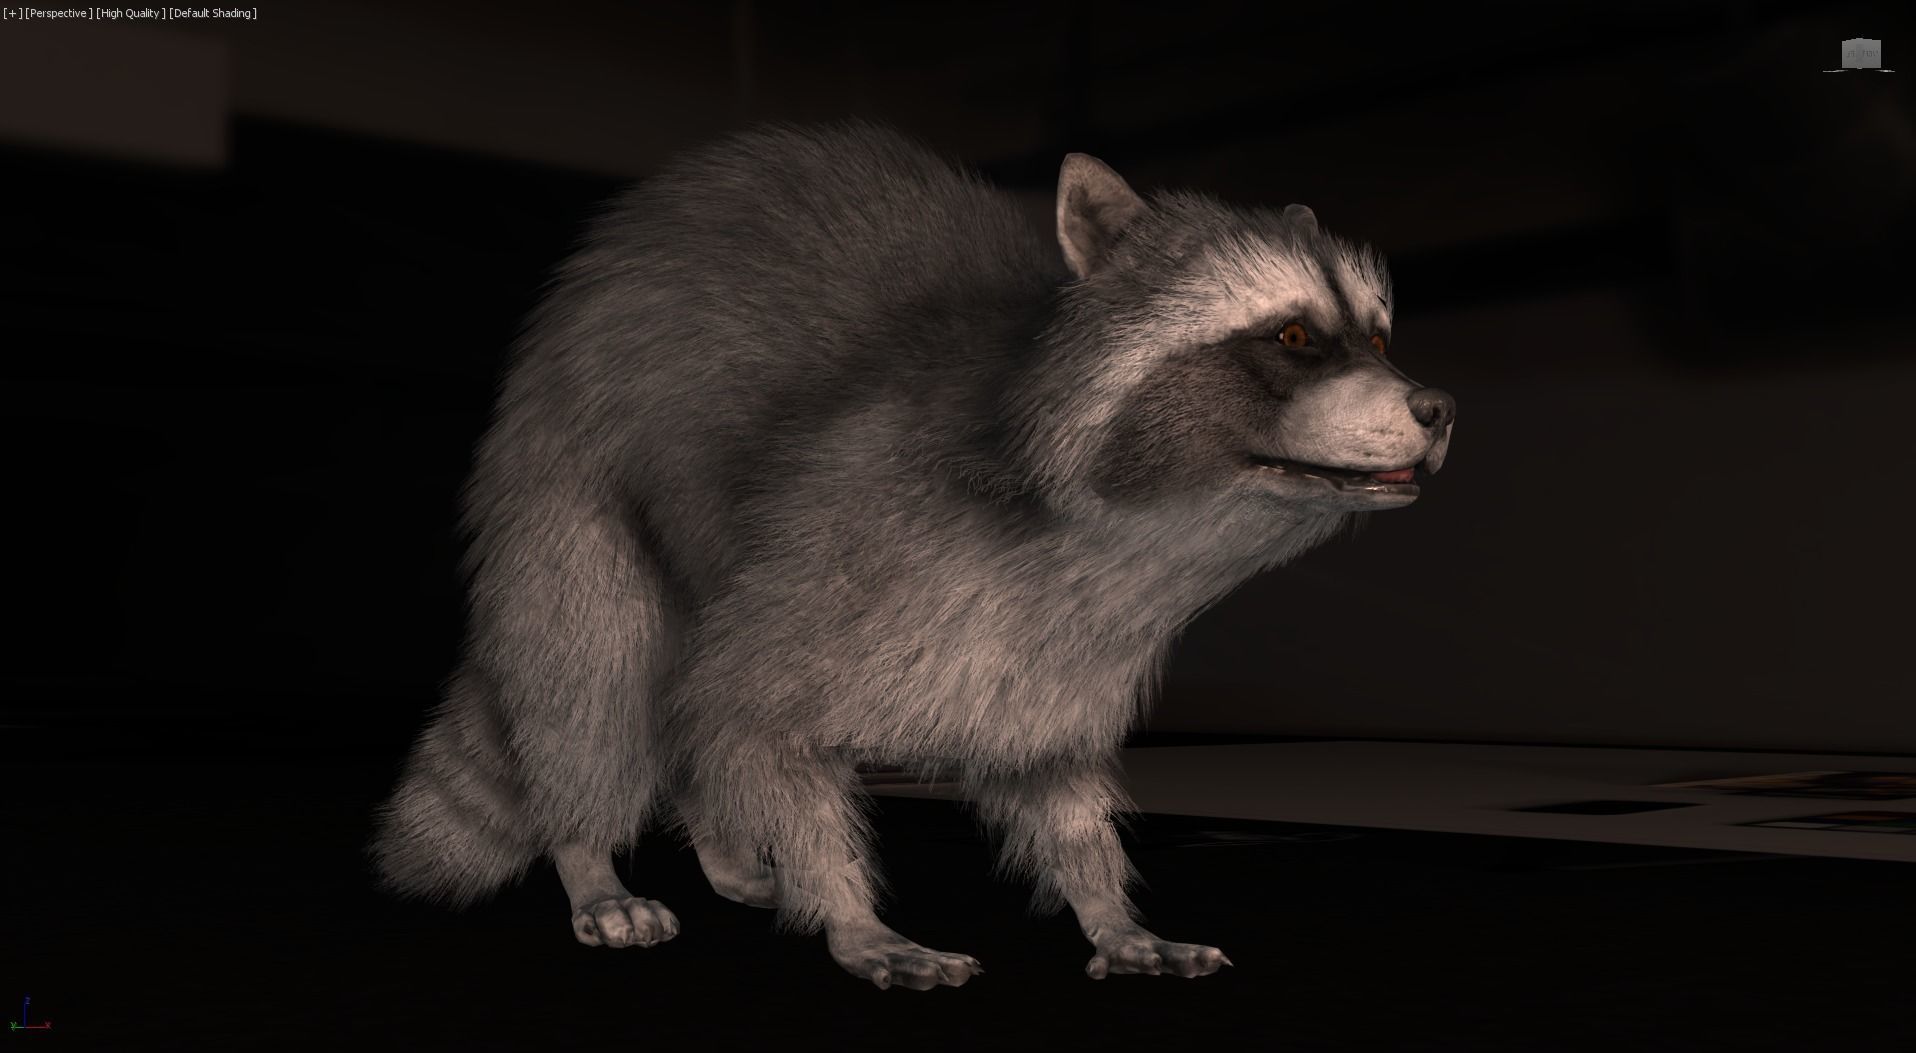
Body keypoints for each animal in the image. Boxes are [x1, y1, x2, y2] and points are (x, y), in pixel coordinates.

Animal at [370, 121, 1454, 990]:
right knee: (594, 671)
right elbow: (759, 716)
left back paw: (720, 848)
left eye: (1377, 336)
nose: (1438, 407)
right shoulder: (840, 535)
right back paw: (590, 854)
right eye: (1291, 335)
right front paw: (850, 913)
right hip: (571, 484)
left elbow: (1051, 773)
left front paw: (1105, 905)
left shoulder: (1063, 647)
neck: (1132, 541)